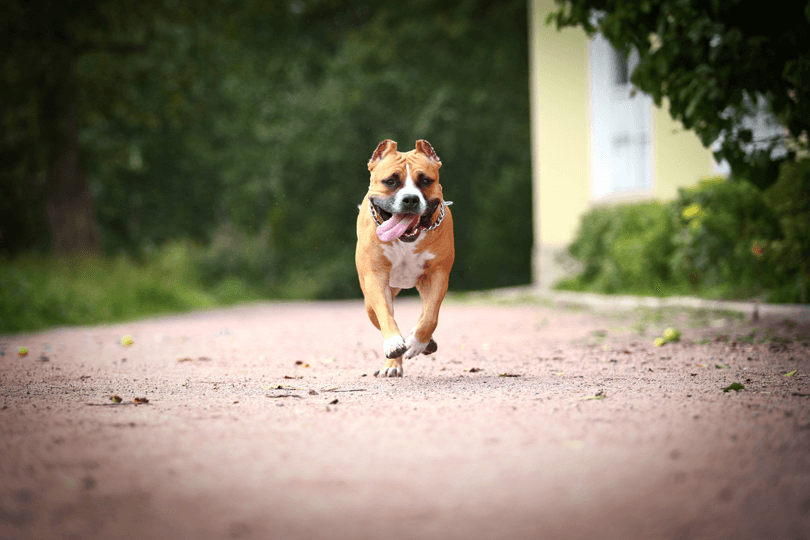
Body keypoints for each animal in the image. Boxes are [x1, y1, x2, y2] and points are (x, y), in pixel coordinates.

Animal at [356, 138, 454, 376]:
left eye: (425, 180)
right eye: (390, 181)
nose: (410, 199)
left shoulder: (438, 275)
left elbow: (430, 316)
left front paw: (418, 342)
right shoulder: (375, 278)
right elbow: (386, 314)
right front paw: (393, 343)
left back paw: (423, 343)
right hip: (369, 302)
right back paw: (393, 364)